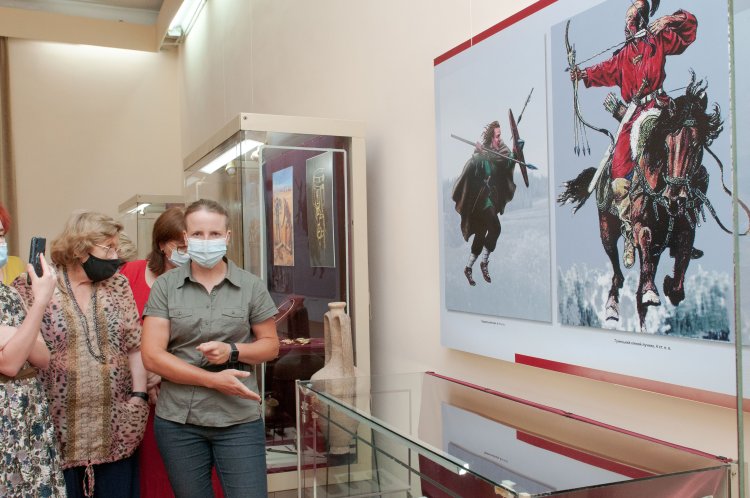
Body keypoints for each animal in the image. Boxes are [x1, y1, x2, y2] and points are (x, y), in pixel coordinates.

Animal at [559, 73, 723, 331]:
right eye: (667, 145)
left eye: (697, 145)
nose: (675, 196)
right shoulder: (641, 228)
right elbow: (643, 245)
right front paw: (650, 292)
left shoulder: (686, 231)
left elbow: (680, 272)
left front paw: (668, 286)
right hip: (606, 230)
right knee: (617, 272)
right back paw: (613, 305)